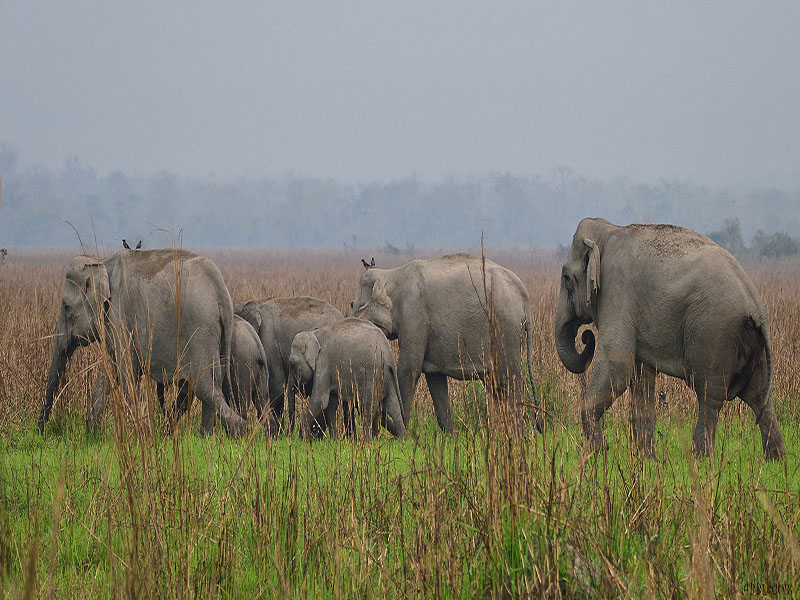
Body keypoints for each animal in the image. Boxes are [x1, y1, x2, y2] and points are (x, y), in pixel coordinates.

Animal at [39, 247, 245, 436]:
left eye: (66, 307)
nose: (40, 431)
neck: (100, 261)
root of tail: (221, 291)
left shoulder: (119, 316)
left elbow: (126, 373)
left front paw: (144, 435)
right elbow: (109, 370)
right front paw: (92, 436)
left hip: (199, 329)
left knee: (204, 385)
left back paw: (238, 430)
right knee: (209, 383)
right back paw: (205, 437)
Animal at [352, 254, 544, 436]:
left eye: (353, 304)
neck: (391, 273)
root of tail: (524, 296)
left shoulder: (414, 314)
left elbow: (410, 369)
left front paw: (401, 437)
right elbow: (434, 377)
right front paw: (451, 436)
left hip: (505, 330)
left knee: (509, 381)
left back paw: (518, 435)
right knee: (496, 384)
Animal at [556, 219, 788, 460]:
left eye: (566, 279)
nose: (586, 336)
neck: (609, 230)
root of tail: (756, 306)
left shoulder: (617, 291)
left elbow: (618, 367)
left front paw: (598, 451)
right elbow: (641, 376)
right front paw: (646, 459)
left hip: (713, 332)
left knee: (709, 395)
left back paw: (700, 457)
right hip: (749, 342)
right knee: (759, 396)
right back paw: (775, 460)